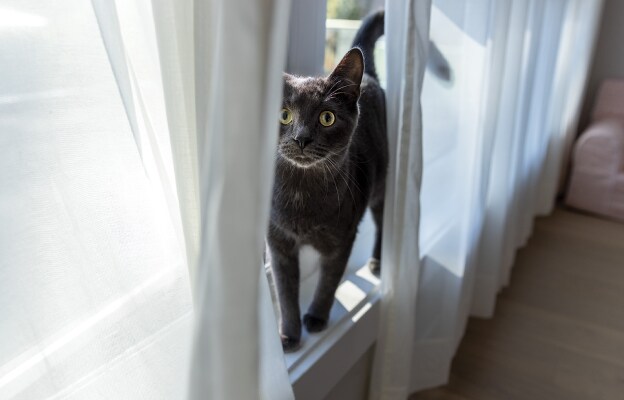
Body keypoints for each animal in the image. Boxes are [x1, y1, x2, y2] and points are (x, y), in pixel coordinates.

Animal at [266, 10, 386, 352]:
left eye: (327, 117)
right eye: (283, 115)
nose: (301, 138)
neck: (302, 196)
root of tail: (369, 78)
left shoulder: (343, 237)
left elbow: (329, 281)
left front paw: (317, 318)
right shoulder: (278, 242)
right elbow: (286, 291)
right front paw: (289, 334)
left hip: (380, 184)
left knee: (383, 218)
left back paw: (377, 261)